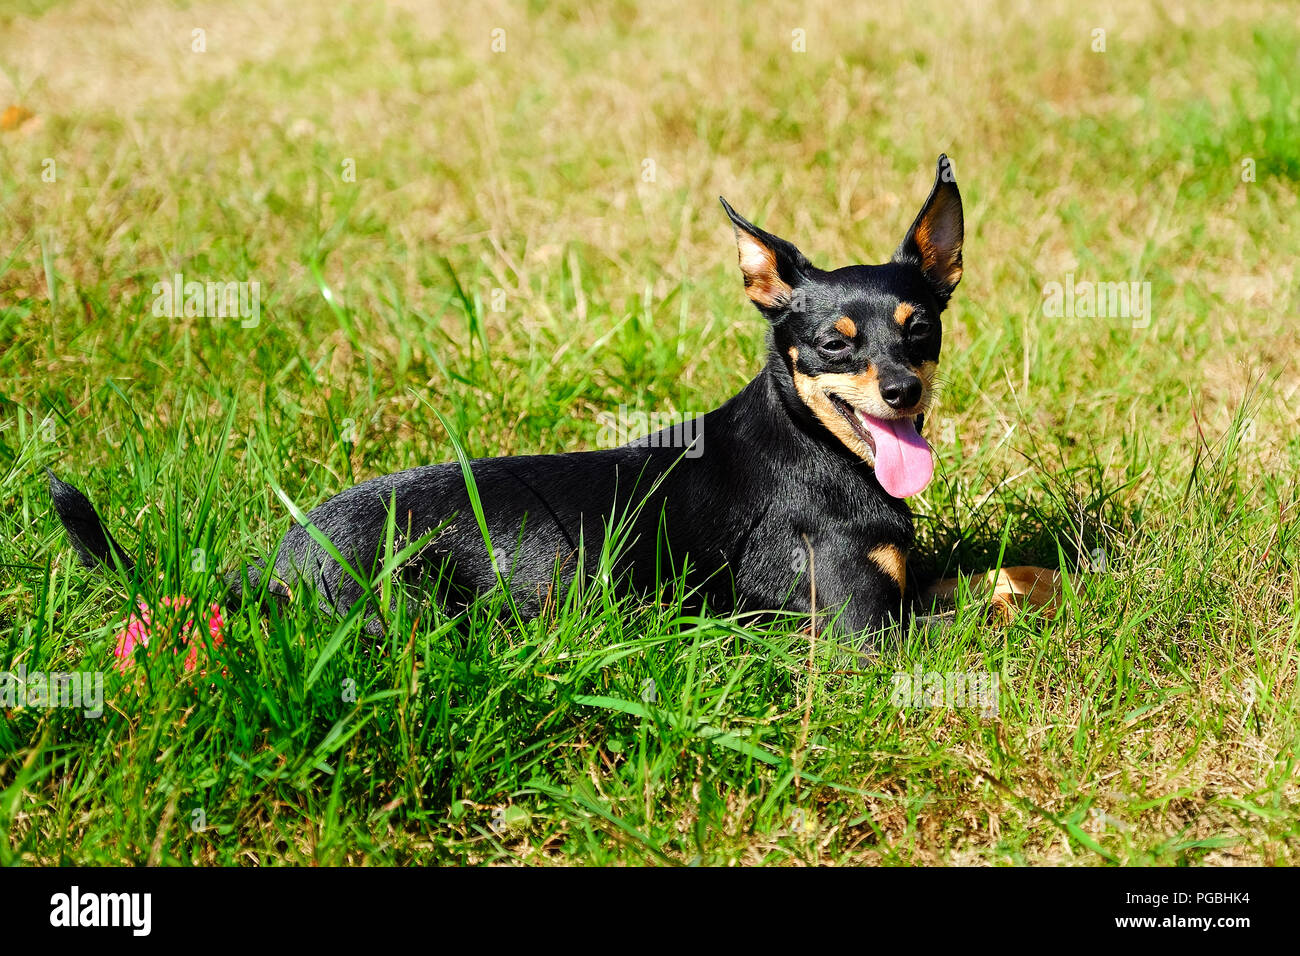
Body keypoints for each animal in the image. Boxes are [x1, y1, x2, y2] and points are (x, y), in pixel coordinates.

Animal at [50, 157, 1060, 642]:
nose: (900, 388)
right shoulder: (858, 631)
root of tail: (271, 569)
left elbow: (1007, 572)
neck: (818, 445)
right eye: (832, 344)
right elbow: (989, 604)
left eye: (921, 329)